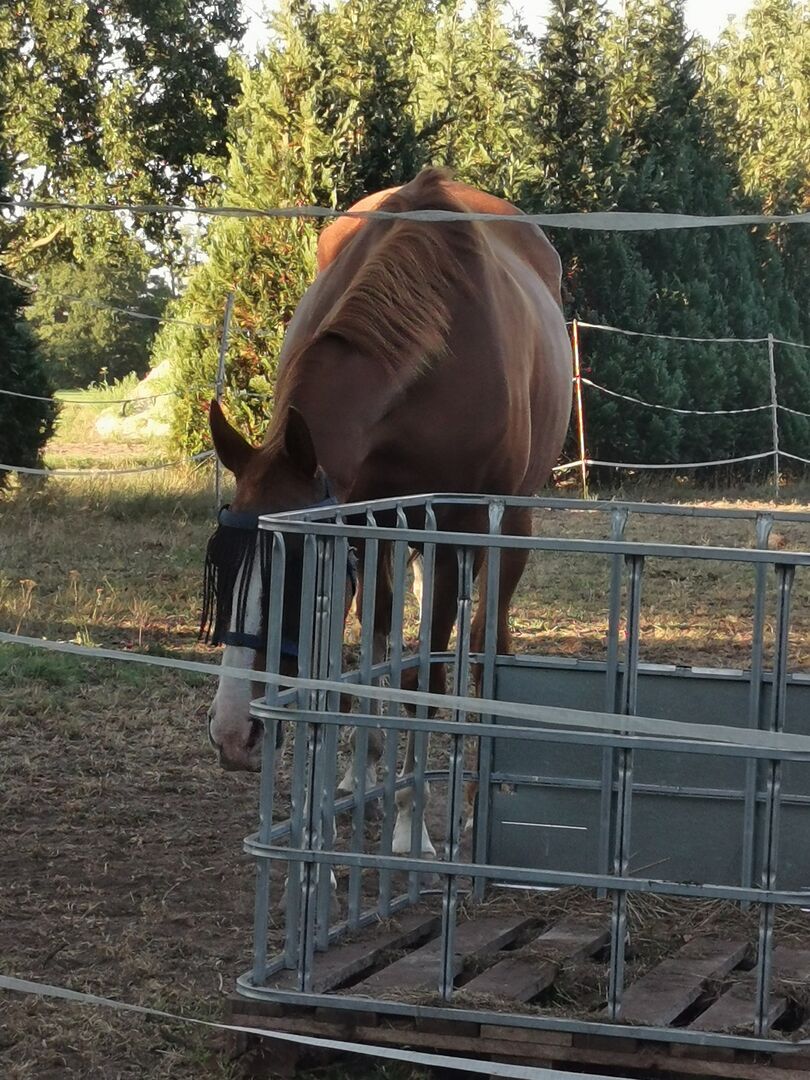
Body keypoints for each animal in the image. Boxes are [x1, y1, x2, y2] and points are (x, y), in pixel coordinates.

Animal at [202, 168, 572, 856]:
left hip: (510, 524)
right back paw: (363, 773)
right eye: (221, 571)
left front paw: (411, 822)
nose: (234, 734)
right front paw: (344, 791)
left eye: (296, 574)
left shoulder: (453, 533)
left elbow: (424, 676)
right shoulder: (356, 524)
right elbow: (363, 658)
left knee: (485, 641)